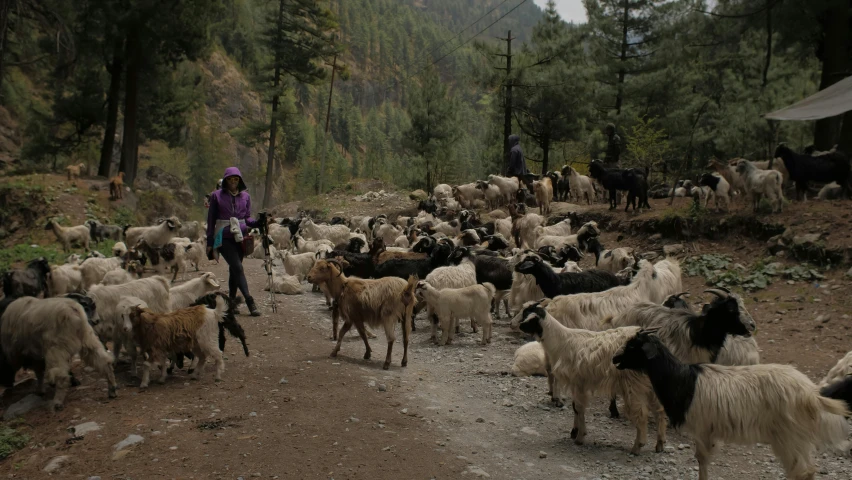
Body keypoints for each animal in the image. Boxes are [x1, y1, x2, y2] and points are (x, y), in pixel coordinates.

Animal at [512, 306, 664, 456]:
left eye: (531, 319)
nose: (519, 325)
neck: (561, 342)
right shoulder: (577, 383)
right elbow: (575, 407)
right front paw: (574, 431)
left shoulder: (578, 382)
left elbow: (579, 408)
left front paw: (580, 437)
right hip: (650, 384)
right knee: (659, 410)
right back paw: (660, 444)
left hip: (633, 384)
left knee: (642, 414)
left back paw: (637, 446)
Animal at [616, 330, 848, 480]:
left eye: (633, 346)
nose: (615, 359)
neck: (683, 381)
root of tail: (812, 393)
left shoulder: (702, 429)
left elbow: (701, 460)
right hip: (798, 438)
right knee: (807, 470)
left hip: (789, 436)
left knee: (800, 471)